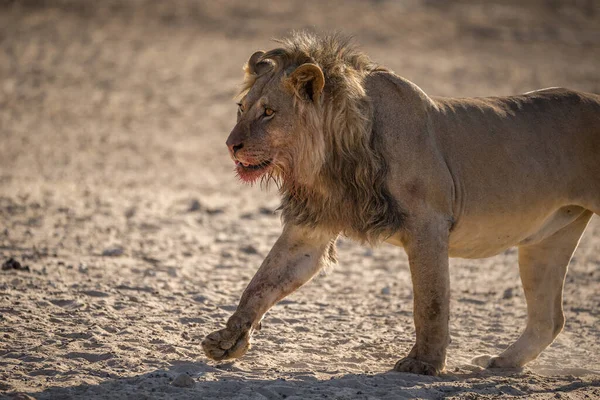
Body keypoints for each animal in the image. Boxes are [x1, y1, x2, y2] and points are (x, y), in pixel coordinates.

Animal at [203, 31, 600, 376]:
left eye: (269, 112)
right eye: (241, 108)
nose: (231, 145)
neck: (331, 159)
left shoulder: (429, 225)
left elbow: (430, 302)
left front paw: (423, 364)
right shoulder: (311, 230)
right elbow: (261, 283)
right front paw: (228, 340)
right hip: (547, 239)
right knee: (550, 319)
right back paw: (503, 362)